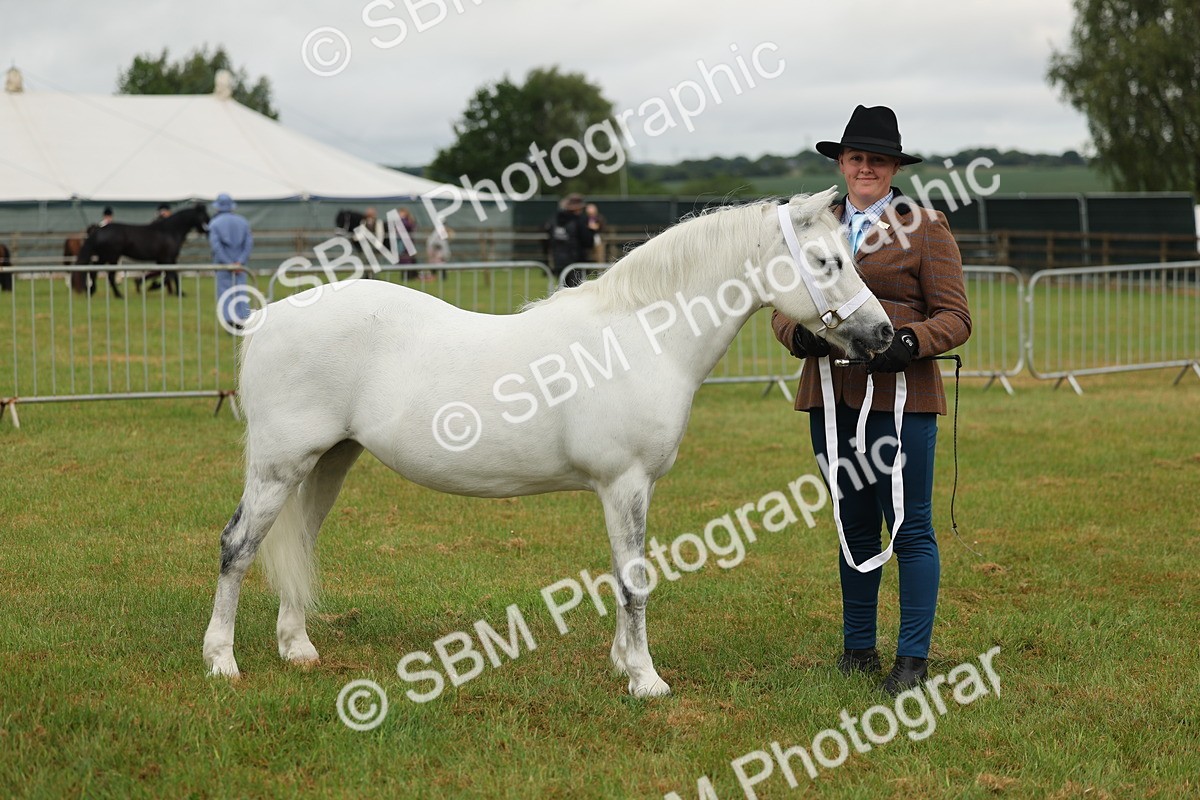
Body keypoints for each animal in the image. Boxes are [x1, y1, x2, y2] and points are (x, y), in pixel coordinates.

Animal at [74, 204, 209, 297]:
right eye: (205, 216)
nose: (208, 231)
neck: (170, 231)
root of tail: (99, 230)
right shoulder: (167, 258)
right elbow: (169, 275)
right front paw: (153, 286)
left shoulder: (165, 259)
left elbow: (171, 274)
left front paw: (180, 293)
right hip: (112, 257)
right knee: (109, 275)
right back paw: (118, 295)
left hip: (104, 256)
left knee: (94, 271)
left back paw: (91, 292)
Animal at [202, 188, 895, 696]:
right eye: (828, 262)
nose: (885, 335)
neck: (640, 335)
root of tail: (266, 317)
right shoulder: (625, 483)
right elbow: (635, 579)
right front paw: (647, 681)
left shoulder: (627, 490)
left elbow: (622, 573)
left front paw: (623, 662)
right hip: (279, 466)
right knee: (238, 546)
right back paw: (221, 661)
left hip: (326, 464)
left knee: (296, 545)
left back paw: (298, 649)